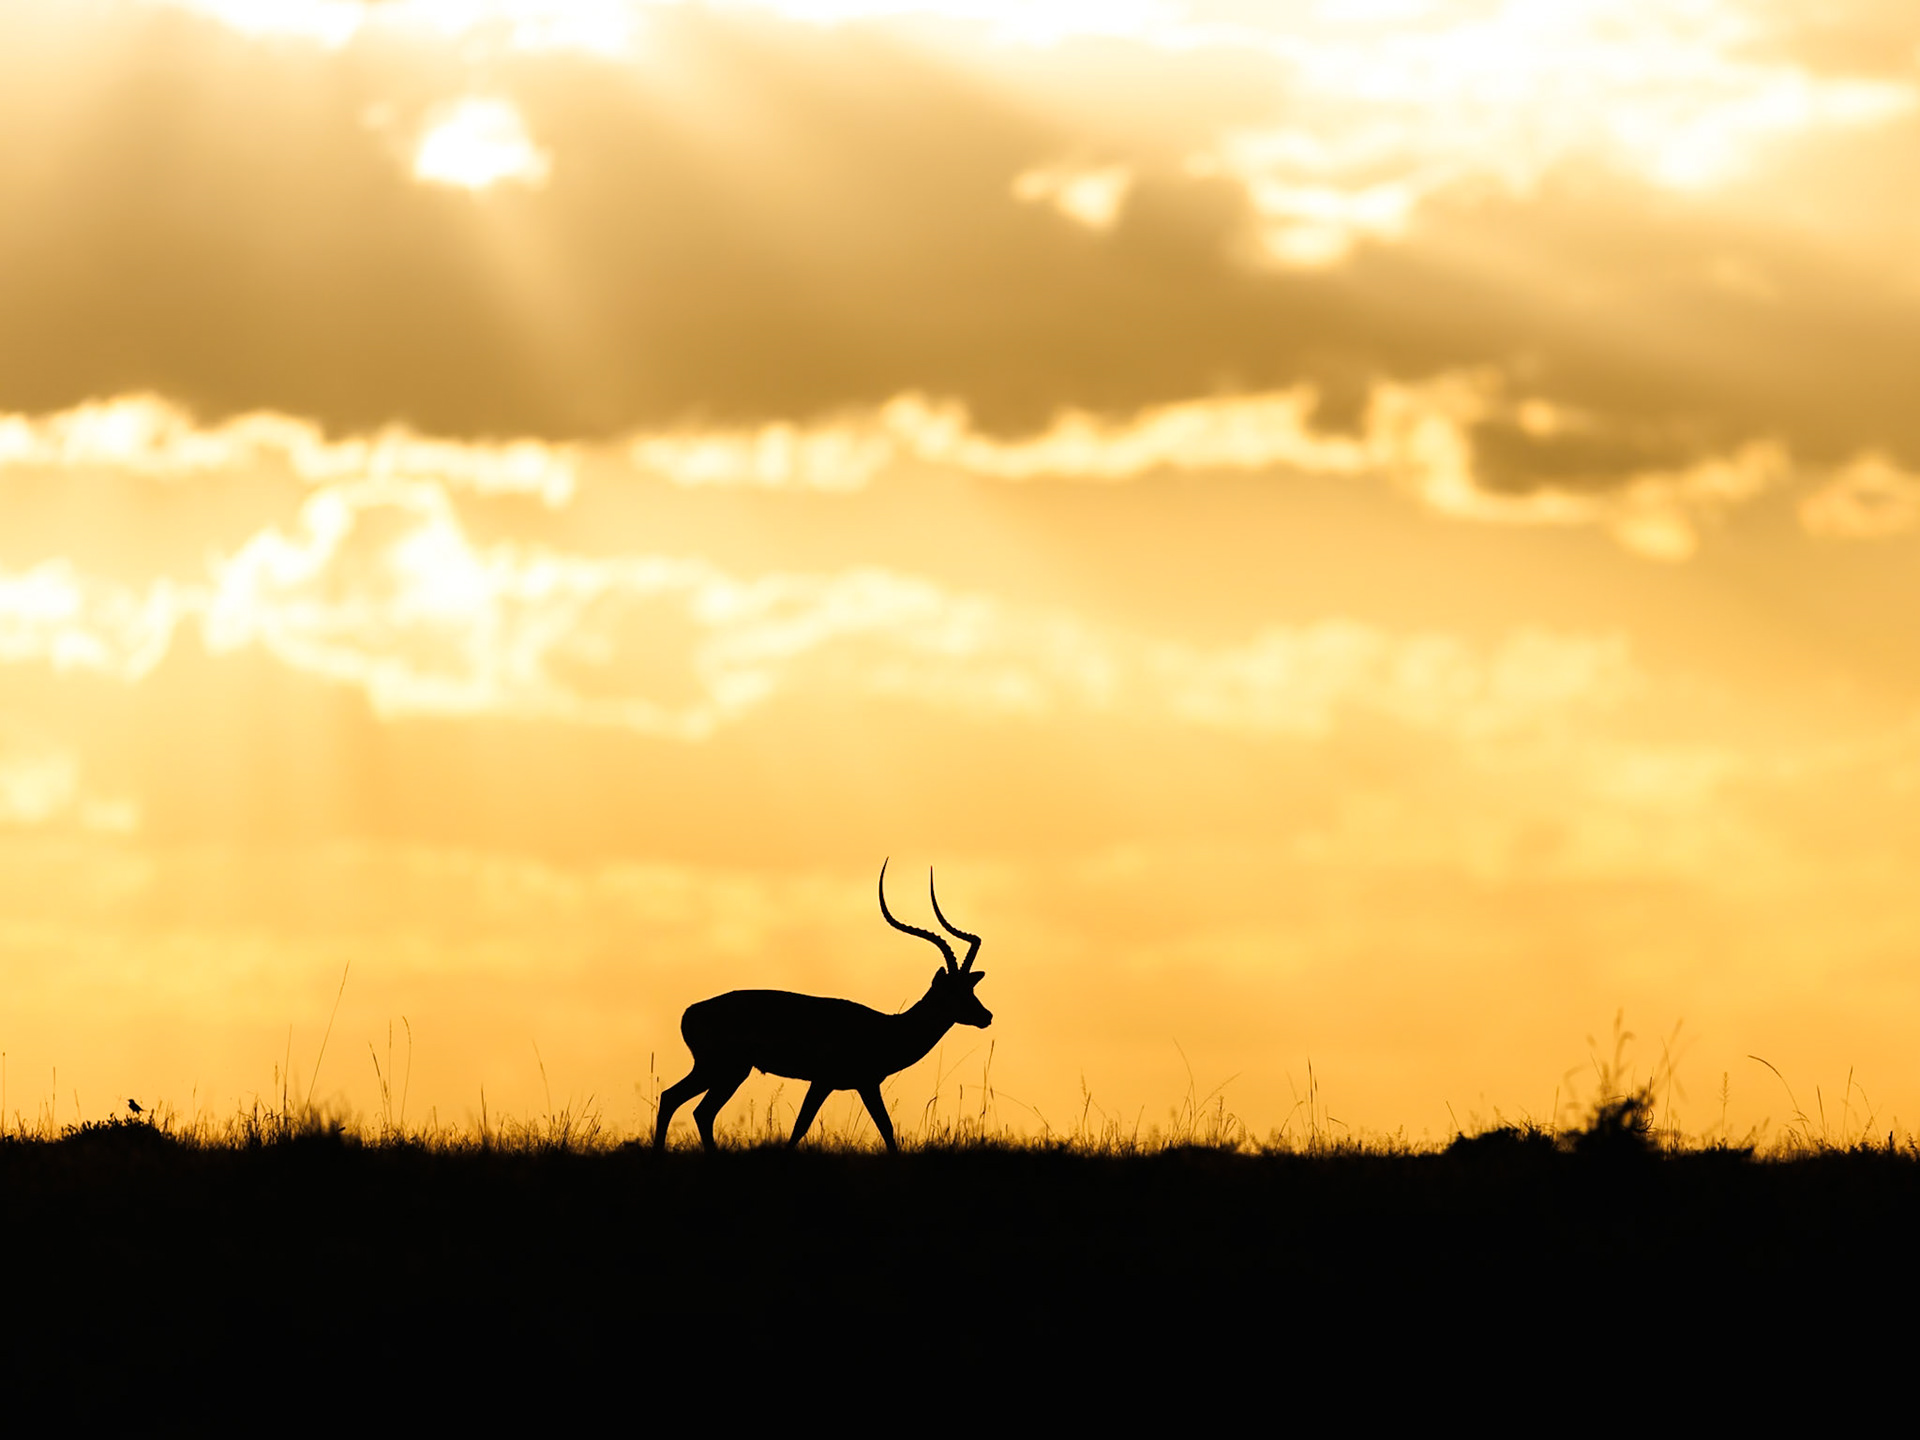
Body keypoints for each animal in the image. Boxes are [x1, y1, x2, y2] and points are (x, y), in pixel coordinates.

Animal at [652, 860, 991, 1153]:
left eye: (970, 988)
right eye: (953, 991)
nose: (986, 1016)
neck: (887, 1029)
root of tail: (690, 1012)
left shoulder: (858, 1084)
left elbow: (883, 1128)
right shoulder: (834, 1081)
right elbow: (807, 1126)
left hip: (725, 1070)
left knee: (687, 1105)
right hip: (724, 1069)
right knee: (685, 1104)